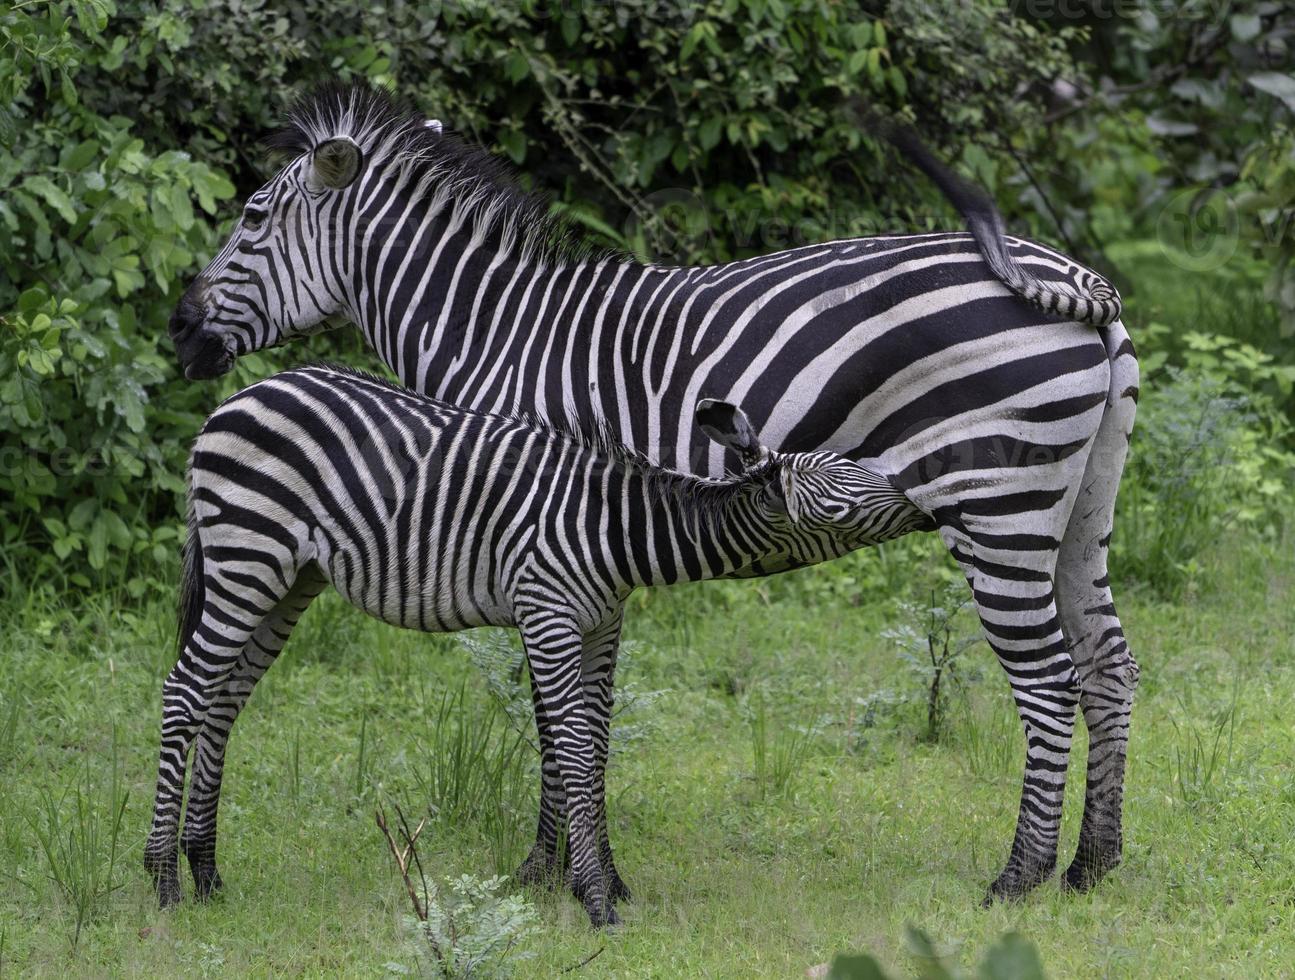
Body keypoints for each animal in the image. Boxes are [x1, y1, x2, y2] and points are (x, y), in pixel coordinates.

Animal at [144, 365, 932, 926]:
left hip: (288, 579)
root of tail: (234, 399)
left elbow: (598, 746)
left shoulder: (601, 625)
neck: (617, 530)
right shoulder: (548, 615)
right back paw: (164, 882)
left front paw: (608, 880)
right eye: (840, 495)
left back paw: (207, 872)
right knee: (185, 692)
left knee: (222, 702)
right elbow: (575, 751)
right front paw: (595, 901)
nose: (924, 502)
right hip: (248, 555)